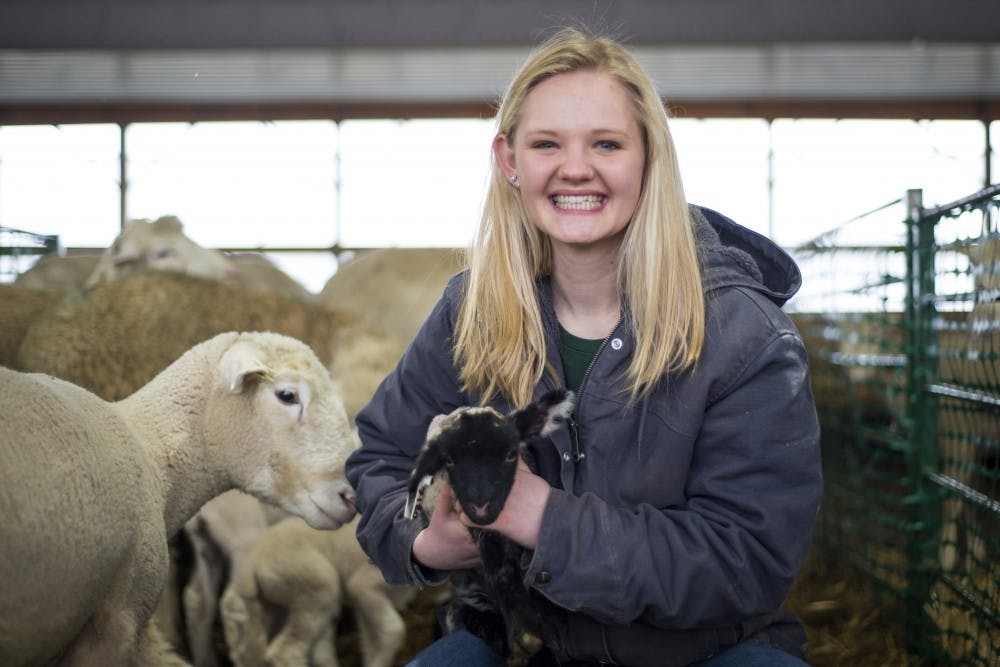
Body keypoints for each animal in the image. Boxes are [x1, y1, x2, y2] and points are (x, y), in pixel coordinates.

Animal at [406, 388, 580, 667]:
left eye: (511, 454)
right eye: (448, 460)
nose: (481, 508)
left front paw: (529, 630)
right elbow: (497, 560)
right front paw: (526, 632)